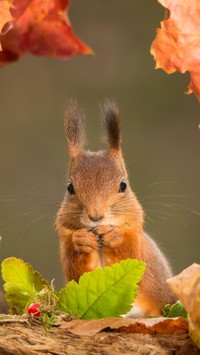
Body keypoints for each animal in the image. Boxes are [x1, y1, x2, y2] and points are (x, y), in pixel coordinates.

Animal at [55, 101, 176, 318]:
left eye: (123, 185)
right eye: (70, 187)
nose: (96, 216)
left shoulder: (136, 239)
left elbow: (133, 257)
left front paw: (115, 236)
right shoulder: (66, 243)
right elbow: (79, 273)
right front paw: (81, 240)